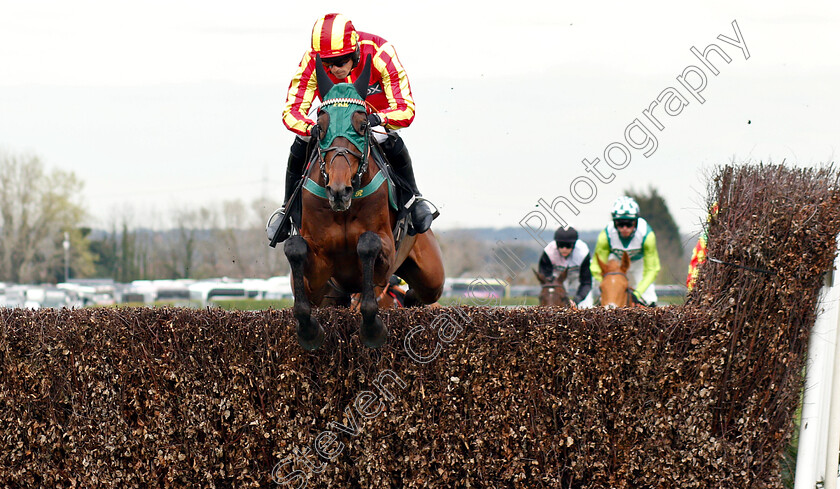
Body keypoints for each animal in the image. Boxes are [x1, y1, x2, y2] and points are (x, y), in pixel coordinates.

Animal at [282, 55, 446, 348]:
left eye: (361, 126)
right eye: (321, 127)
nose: (339, 191)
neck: (343, 210)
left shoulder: (386, 252)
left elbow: (368, 245)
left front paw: (372, 329)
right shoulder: (319, 273)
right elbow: (295, 249)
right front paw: (308, 330)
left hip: (431, 274)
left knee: (424, 293)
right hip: (331, 295)